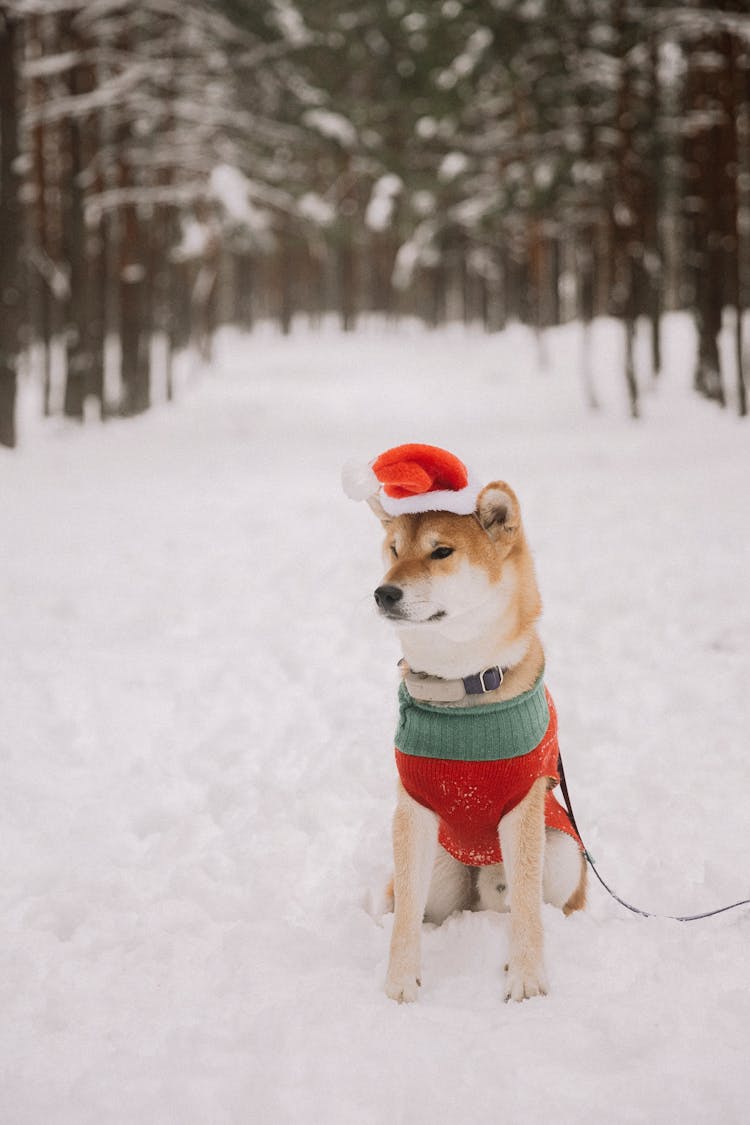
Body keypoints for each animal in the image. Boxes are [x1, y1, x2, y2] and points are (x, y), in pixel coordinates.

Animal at [344, 443, 584, 1008]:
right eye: (393, 549)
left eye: (441, 552)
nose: (384, 593)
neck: (464, 686)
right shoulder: (414, 803)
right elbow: (405, 917)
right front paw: (400, 979)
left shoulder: (523, 803)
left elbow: (526, 908)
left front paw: (526, 977)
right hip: (441, 870)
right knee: (422, 904)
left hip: (563, 850)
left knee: (532, 902)